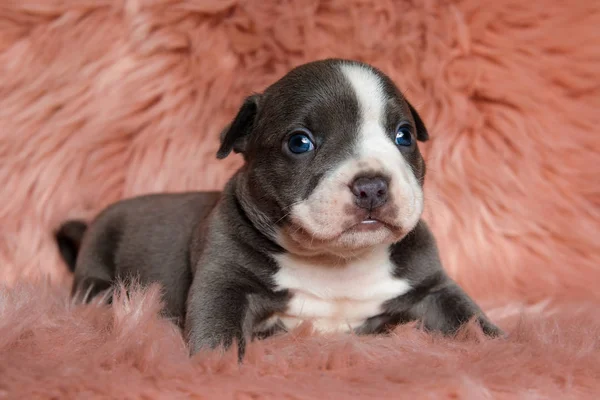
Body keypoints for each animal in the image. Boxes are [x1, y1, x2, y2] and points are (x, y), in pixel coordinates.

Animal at [56, 57, 500, 358]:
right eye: (299, 142)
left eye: (404, 135)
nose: (372, 185)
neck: (336, 261)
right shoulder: (223, 282)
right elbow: (217, 334)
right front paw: (214, 368)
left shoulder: (432, 289)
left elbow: (470, 319)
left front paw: (502, 349)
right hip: (97, 270)